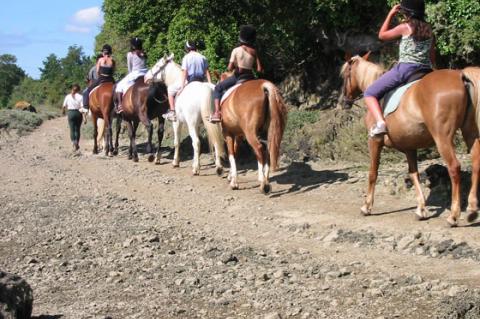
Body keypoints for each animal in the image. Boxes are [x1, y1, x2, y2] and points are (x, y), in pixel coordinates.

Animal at [340, 52, 480, 228]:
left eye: (345, 74)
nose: (344, 101)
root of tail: (460, 75)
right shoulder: (409, 147)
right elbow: (414, 174)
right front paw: (421, 209)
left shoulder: (374, 141)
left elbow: (373, 173)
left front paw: (366, 207)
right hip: (470, 132)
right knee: (476, 163)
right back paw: (472, 209)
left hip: (443, 137)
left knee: (454, 167)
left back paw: (454, 216)